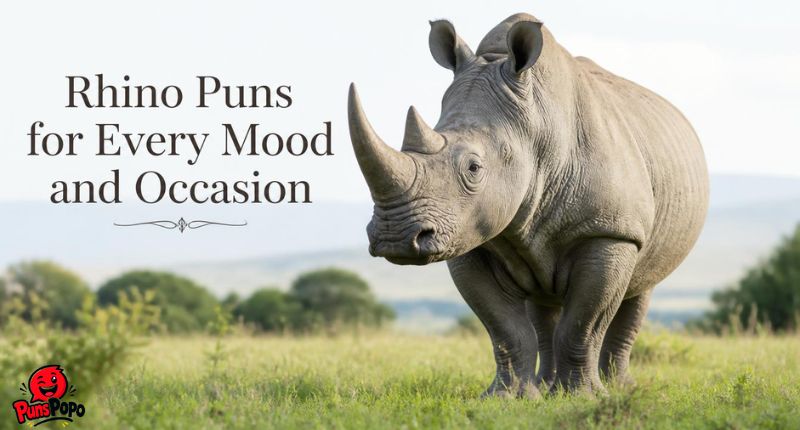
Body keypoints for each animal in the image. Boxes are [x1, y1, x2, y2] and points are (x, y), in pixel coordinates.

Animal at [348, 13, 708, 396]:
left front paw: (582, 396)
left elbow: (583, 325)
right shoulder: (469, 236)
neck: (536, 126)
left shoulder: (610, 231)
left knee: (639, 289)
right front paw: (507, 398)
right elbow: (505, 328)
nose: (395, 239)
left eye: (473, 168)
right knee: (542, 304)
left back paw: (620, 388)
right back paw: (546, 386)